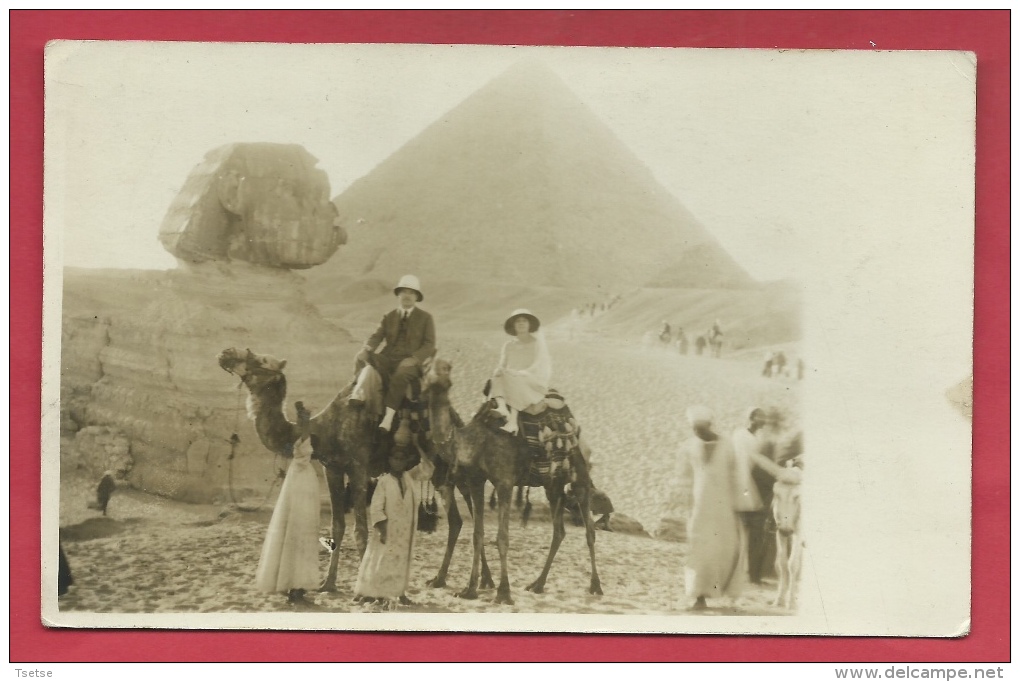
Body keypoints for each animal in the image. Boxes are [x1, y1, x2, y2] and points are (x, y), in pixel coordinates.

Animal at [217, 346, 377, 591]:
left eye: (261, 360)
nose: (226, 353)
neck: (324, 429)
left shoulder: (358, 467)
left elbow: (360, 530)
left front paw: (365, 592)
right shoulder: (333, 468)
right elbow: (337, 526)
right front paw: (327, 584)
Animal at [420, 358, 599, 603]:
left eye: (446, 369)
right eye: (428, 368)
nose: (436, 379)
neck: (475, 441)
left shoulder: (504, 482)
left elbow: (502, 537)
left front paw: (503, 592)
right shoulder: (476, 481)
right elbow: (477, 535)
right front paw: (469, 589)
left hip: (579, 475)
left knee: (589, 528)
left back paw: (595, 586)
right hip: (552, 484)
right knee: (559, 530)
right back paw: (538, 584)